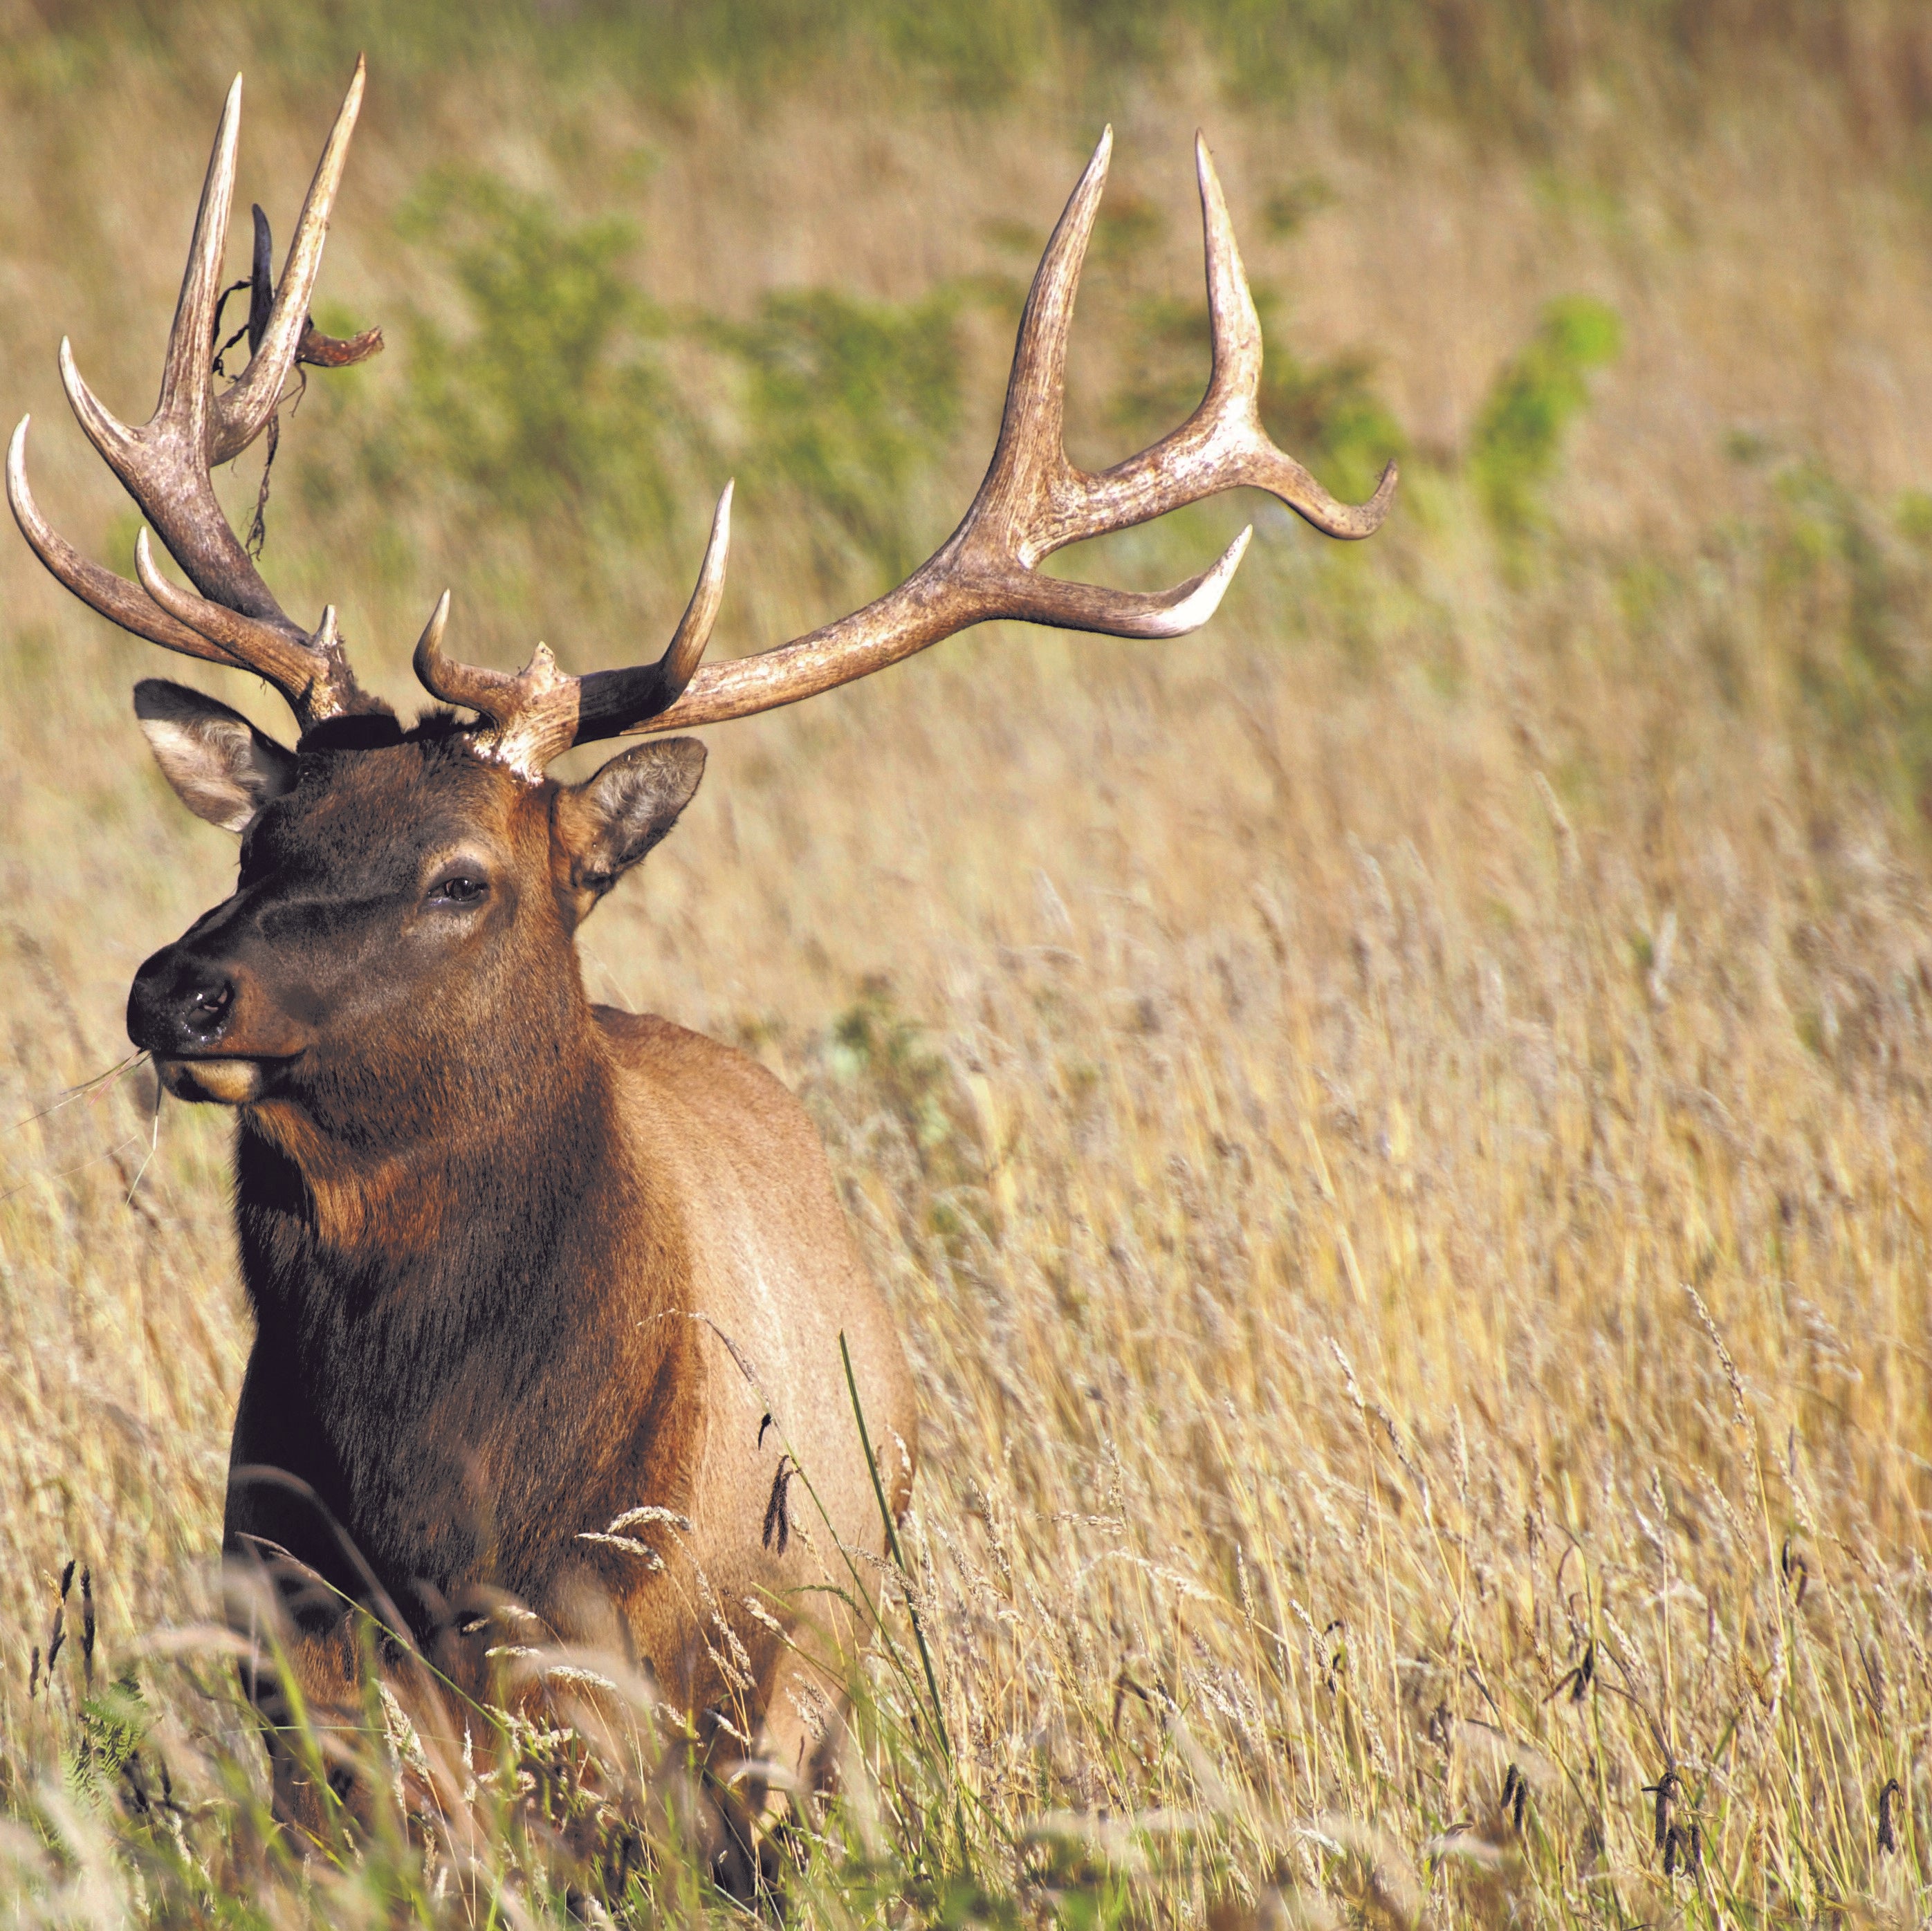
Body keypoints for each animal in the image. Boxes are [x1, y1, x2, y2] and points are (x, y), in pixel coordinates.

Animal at [7, 68, 1399, 1861]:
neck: (453, 1518)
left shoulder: (689, 1689)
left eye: (465, 878)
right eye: (261, 841)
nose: (176, 990)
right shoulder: (310, 1688)